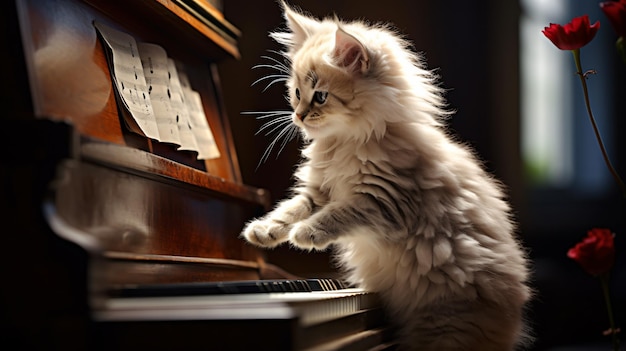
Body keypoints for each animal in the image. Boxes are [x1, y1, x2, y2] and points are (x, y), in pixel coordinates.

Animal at [241, 2, 528, 350]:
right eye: (296, 93)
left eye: (320, 97)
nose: (299, 115)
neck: (346, 142)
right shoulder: (320, 190)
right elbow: (291, 209)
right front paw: (264, 230)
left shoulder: (383, 201)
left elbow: (339, 213)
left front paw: (307, 233)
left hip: (445, 330)